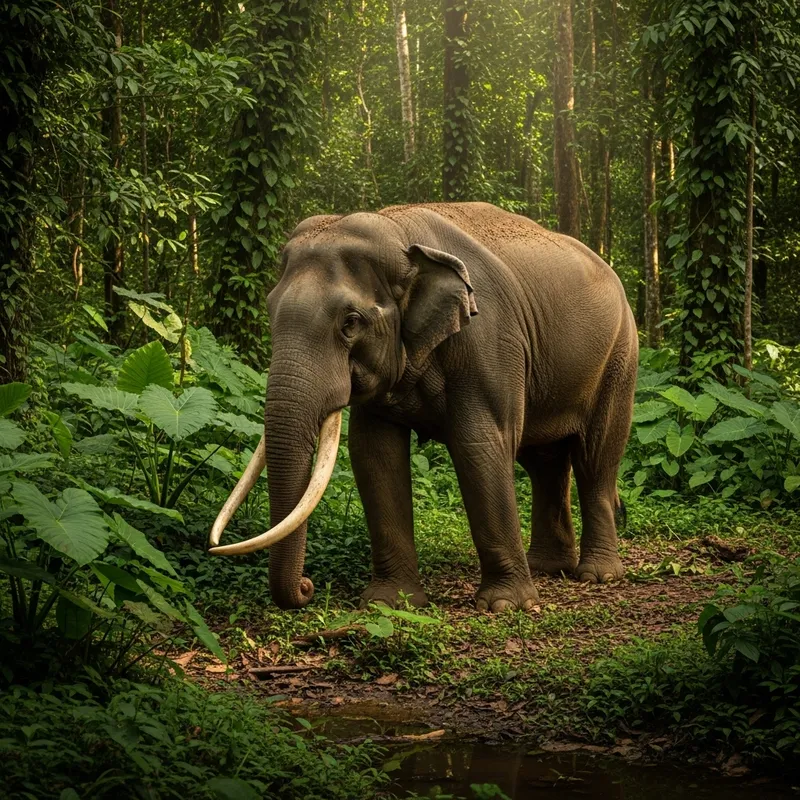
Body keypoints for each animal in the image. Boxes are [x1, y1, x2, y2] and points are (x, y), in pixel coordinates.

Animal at [208, 202, 638, 612]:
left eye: (350, 322)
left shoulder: (489, 342)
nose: (307, 587)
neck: (399, 233)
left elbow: (480, 447)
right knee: (544, 462)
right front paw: (387, 602)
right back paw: (547, 567)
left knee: (595, 458)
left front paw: (505, 605)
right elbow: (374, 454)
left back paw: (597, 575)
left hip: (620, 359)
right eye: (269, 310)